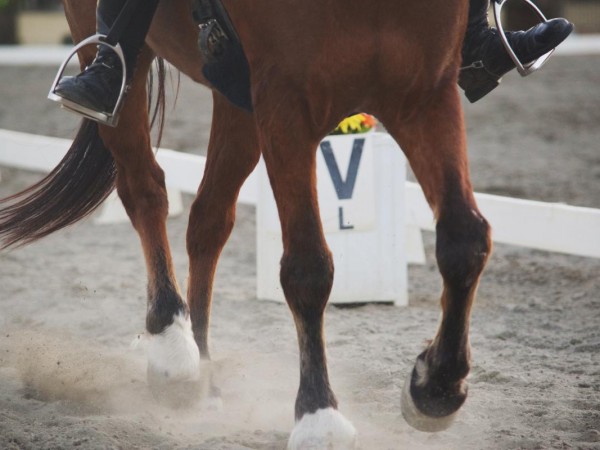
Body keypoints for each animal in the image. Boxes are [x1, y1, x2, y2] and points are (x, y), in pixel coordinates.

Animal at [0, 0, 492, 446]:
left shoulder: (425, 93)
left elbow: (465, 239)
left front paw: (436, 389)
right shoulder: (286, 100)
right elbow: (307, 268)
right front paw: (319, 417)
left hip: (237, 98)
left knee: (208, 220)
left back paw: (204, 381)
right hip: (118, 53)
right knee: (145, 190)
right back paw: (173, 350)